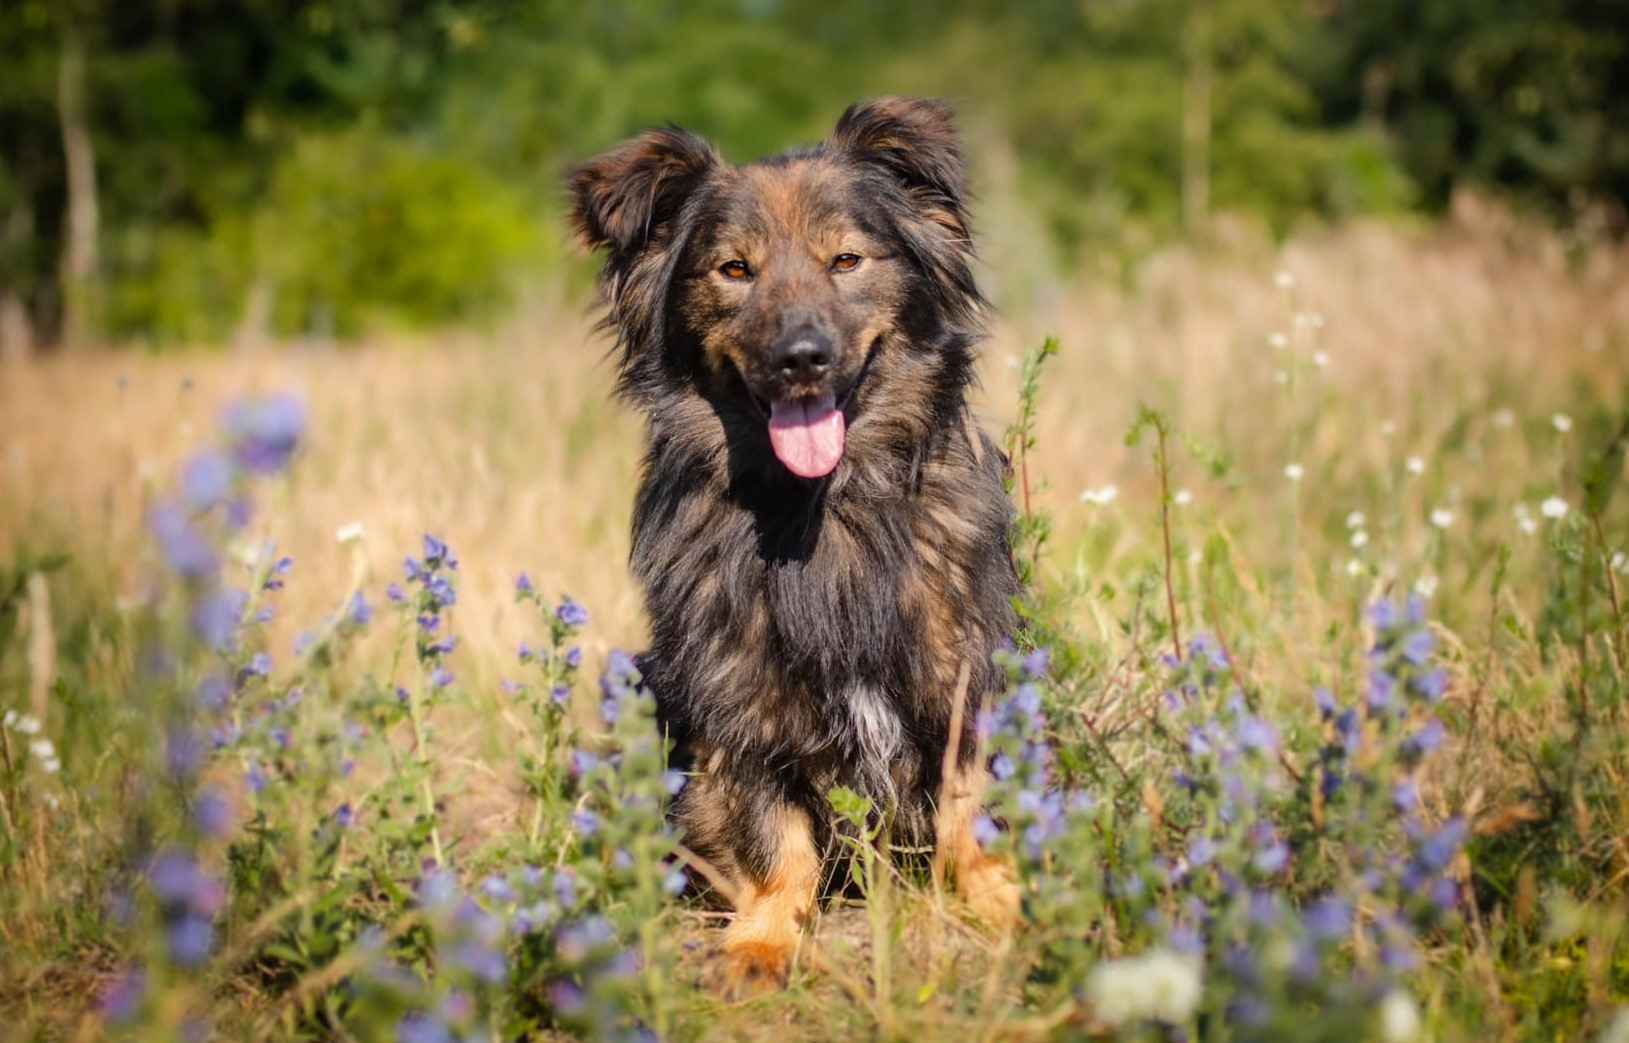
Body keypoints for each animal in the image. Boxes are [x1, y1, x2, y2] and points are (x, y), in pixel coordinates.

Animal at [566, 95, 1009, 984]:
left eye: (846, 259)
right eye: (734, 270)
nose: (800, 358)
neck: (819, 510)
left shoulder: (963, 667)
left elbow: (964, 807)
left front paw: (996, 894)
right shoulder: (735, 693)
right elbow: (774, 835)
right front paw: (766, 936)